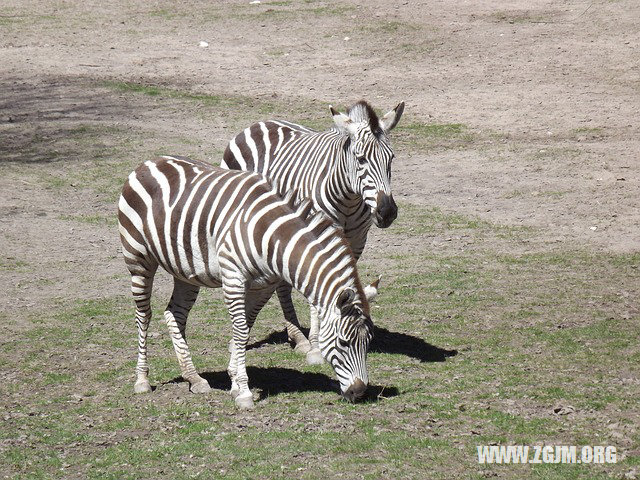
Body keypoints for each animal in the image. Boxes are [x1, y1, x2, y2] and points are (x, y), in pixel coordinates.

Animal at [117, 155, 376, 408]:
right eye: (343, 343)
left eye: (368, 342)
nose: (359, 392)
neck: (271, 236)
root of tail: (148, 163)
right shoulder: (233, 278)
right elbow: (240, 331)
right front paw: (243, 392)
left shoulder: (265, 285)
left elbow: (247, 328)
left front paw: (233, 381)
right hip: (138, 259)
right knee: (144, 315)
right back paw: (142, 379)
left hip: (185, 271)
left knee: (175, 315)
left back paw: (194, 378)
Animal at [222, 100, 402, 364]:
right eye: (360, 159)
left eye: (391, 158)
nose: (387, 211)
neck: (348, 199)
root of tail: (257, 124)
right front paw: (318, 346)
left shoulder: (357, 241)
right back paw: (294, 337)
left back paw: (296, 336)